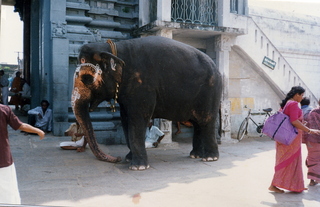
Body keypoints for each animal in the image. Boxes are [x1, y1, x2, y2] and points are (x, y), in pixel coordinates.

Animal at [72, 36, 222, 171]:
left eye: (87, 79)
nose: (117, 159)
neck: (114, 48)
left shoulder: (143, 87)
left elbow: (138, 119)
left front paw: (138, 167)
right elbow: (125, 120)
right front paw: (129, 159)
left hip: (211, 91)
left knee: (207, 120)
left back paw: (210, 158)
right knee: (197, 123)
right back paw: (195, 155)